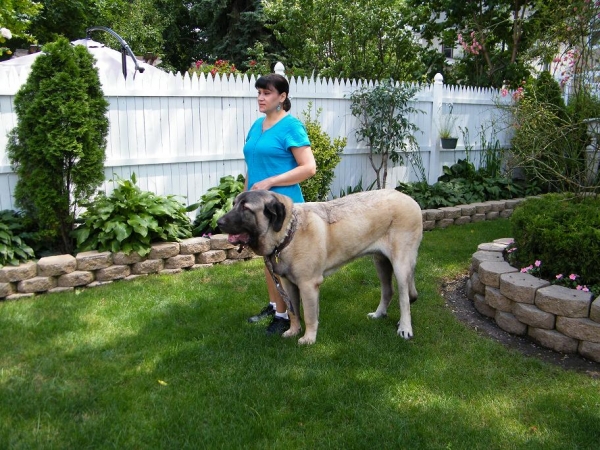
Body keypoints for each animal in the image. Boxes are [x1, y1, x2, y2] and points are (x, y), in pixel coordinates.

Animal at [217, 188, 422, 342]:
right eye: (234, 204)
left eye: (246, 208)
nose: (218, 222)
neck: (288, 232)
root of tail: (410, 199)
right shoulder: (288, 284)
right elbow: (293, 311)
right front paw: (293, 331)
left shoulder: (308, 284)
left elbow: (308, 314)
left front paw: (308, 338)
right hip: (380, 262)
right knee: (388, 291)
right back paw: (379, 314)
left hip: (401, 264)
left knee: (404, 298)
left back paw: (405, 328)